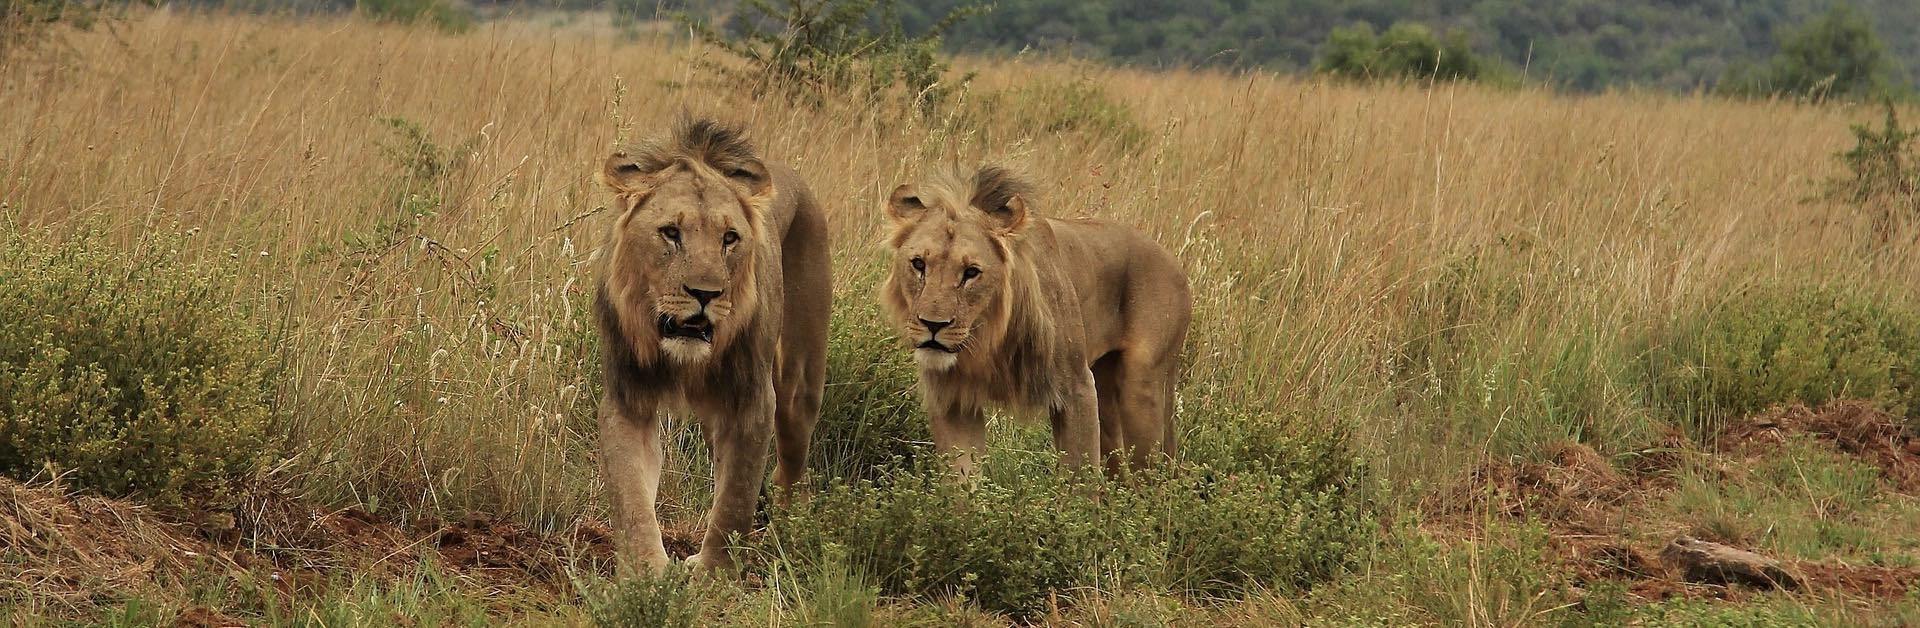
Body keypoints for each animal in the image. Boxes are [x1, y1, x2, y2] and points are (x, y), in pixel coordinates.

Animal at [583, 115, 825, 572]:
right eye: (670, 233)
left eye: (729, 238)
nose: (706, 293)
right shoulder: (627, 400)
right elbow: (631, 496)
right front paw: (646, 572)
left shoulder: (752, 402)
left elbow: (735, 502)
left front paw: (714, 575)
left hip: (799, 384)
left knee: (789, 468)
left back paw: (788, 530)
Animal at [879, 165, 1182, 474]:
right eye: (919, 264)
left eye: (971, 272)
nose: (933, 325)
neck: (988, 337)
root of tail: (1171, 259)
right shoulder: (952, 399)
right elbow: (963, 479)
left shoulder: (1076, 387)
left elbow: (1079, 477)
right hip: (1107, 392)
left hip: (1141, 389)